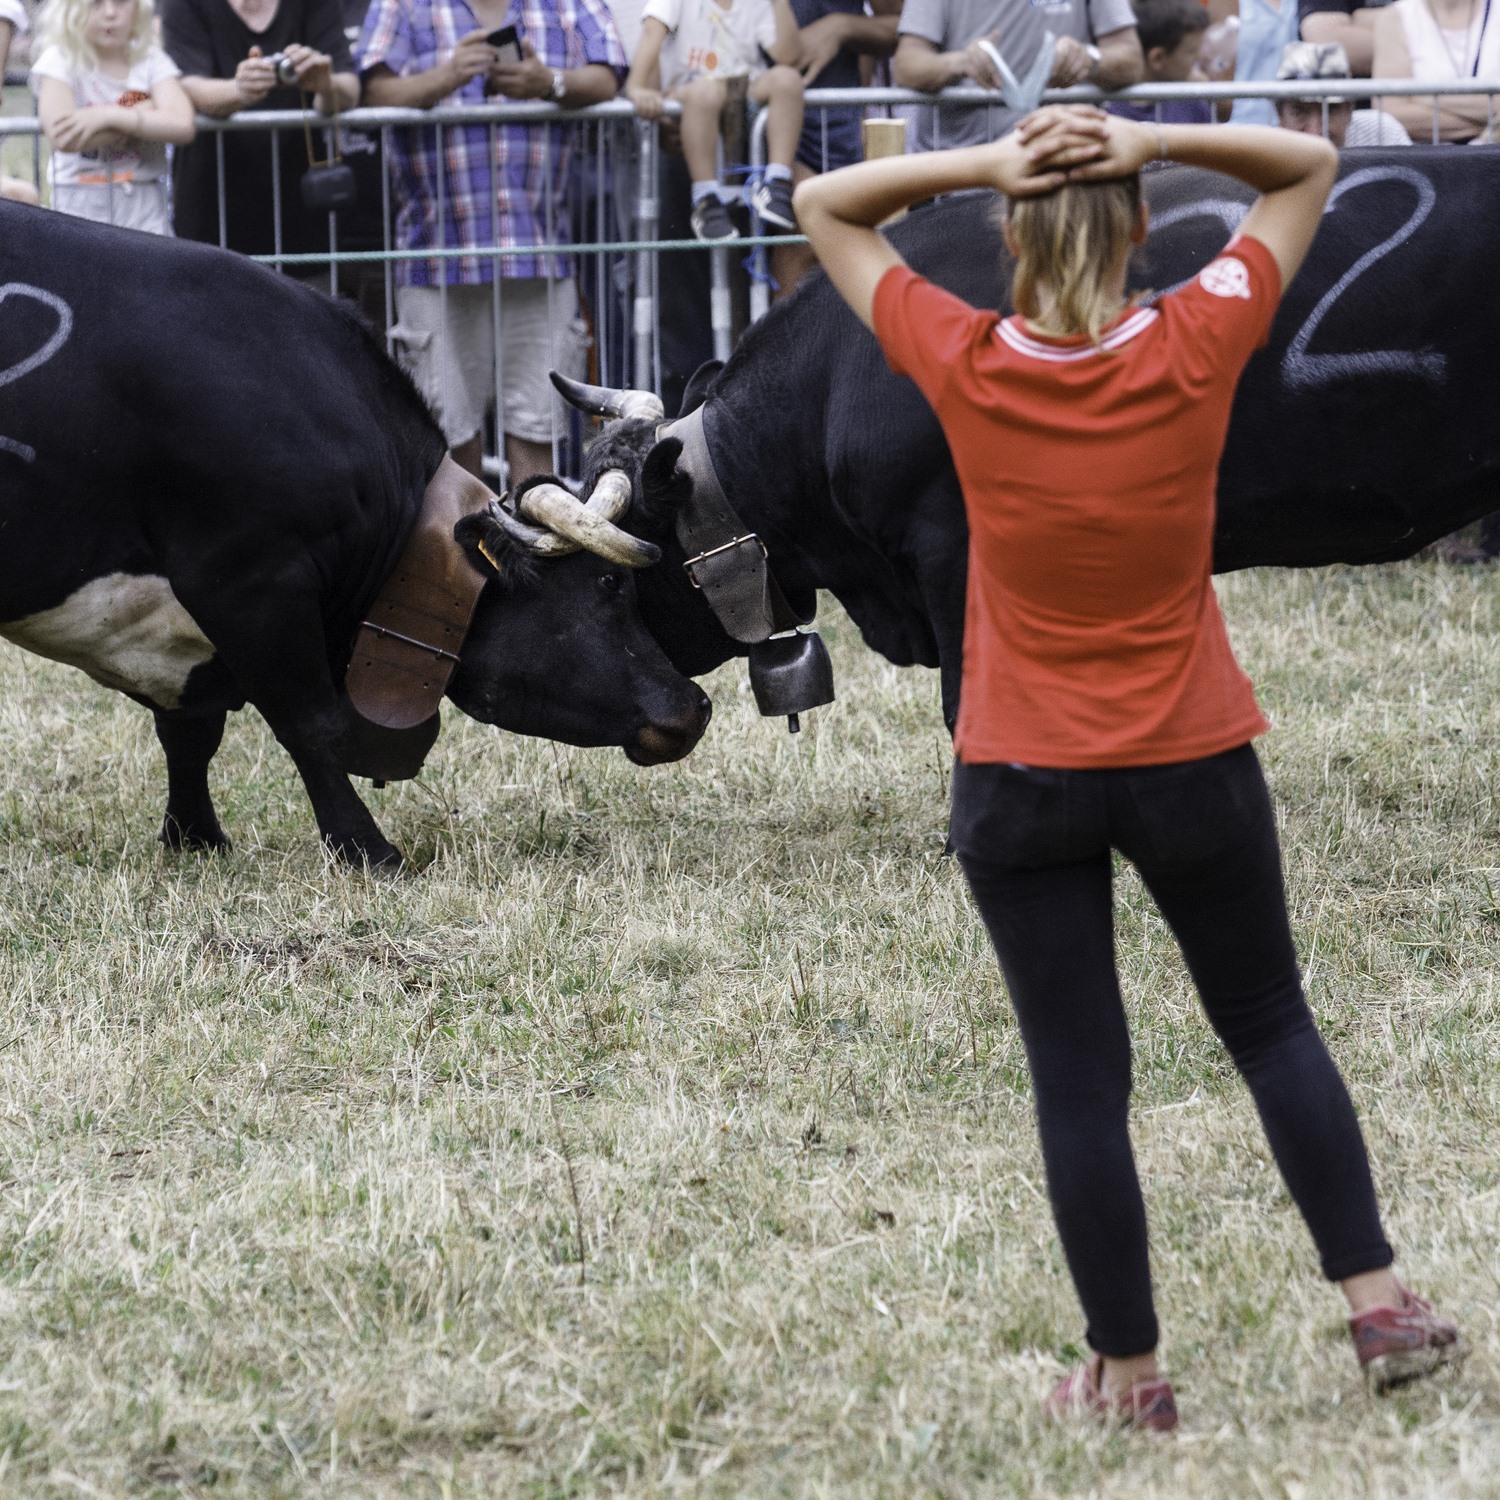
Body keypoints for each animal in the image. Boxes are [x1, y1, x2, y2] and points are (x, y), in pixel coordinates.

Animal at [0, 205, 708, 876]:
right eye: (609, 584)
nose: (694, 707)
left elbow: (190, 732)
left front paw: (195, 837)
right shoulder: (248, 584)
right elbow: (311, 724)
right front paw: (367, 848)